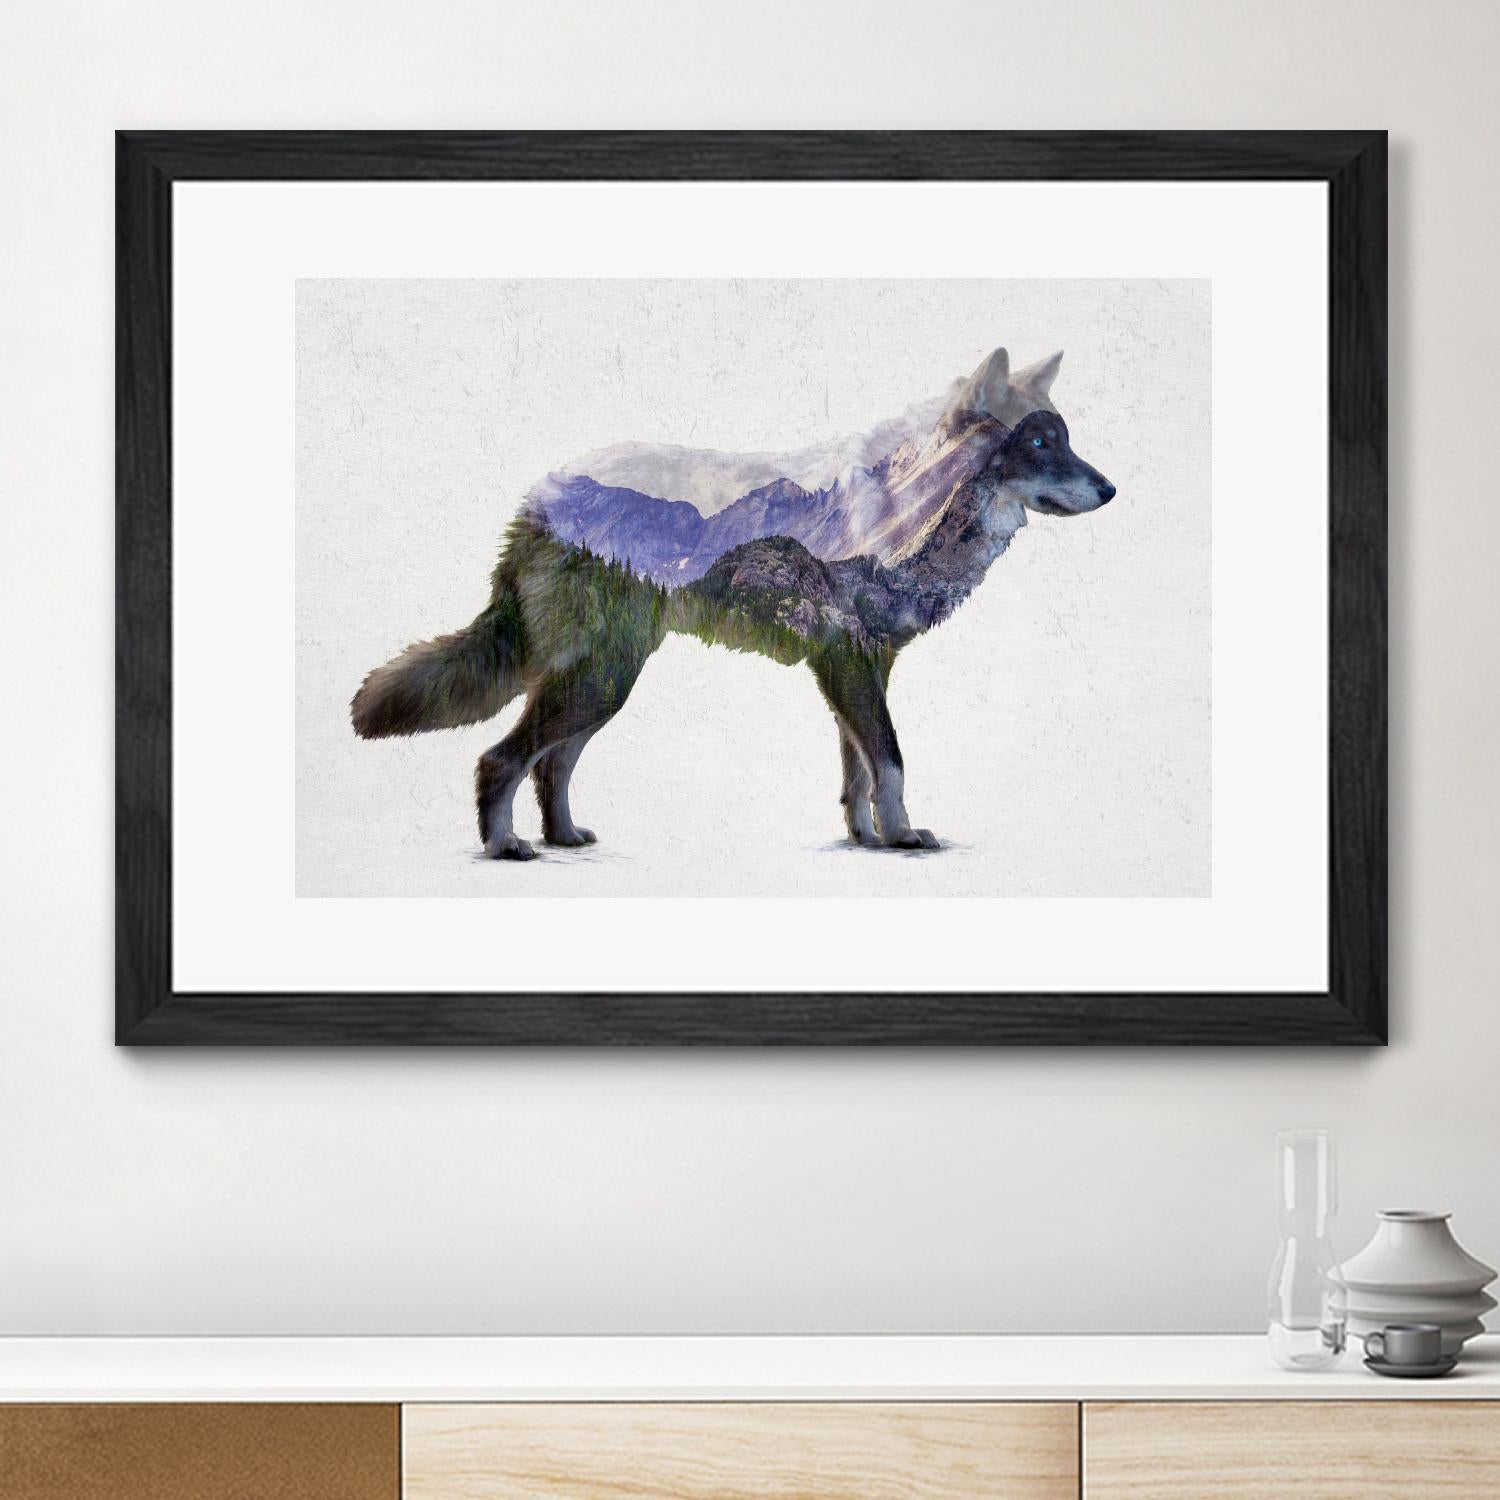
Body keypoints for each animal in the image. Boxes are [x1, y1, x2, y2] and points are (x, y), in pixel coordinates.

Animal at [351, 349, 1115, 859]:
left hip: (606, 683)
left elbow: (860, 773)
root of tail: (539, 498)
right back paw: (506, 848)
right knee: (501, 759)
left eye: (1066, 438)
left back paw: (564, 837)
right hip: (600, 681)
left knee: (550, 765)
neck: (907, 511)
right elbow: (891, 763)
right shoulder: (848, 666)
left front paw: (866, 838)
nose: (1111, 490)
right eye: (1039, 441)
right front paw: (901, 838)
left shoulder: (858, 671)